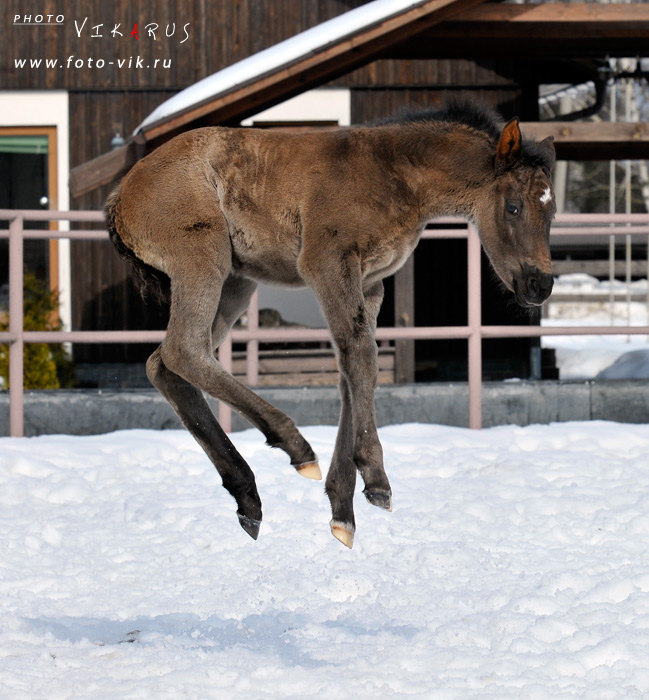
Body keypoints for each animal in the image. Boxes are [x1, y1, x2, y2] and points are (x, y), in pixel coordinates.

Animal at [106, 106, 552, 548]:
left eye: (550, 211)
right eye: (513, 207)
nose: (541, 285)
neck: (393, 175)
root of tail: (120, 194)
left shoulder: (371, 284)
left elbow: (351, 370)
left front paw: (343, 511)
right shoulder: (327, 263)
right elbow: (361, 356)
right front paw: (376, 479)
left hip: (235, 280)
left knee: (163, 363)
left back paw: (248, 496)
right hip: (201, 257)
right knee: (184, 350)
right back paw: (294, 446)